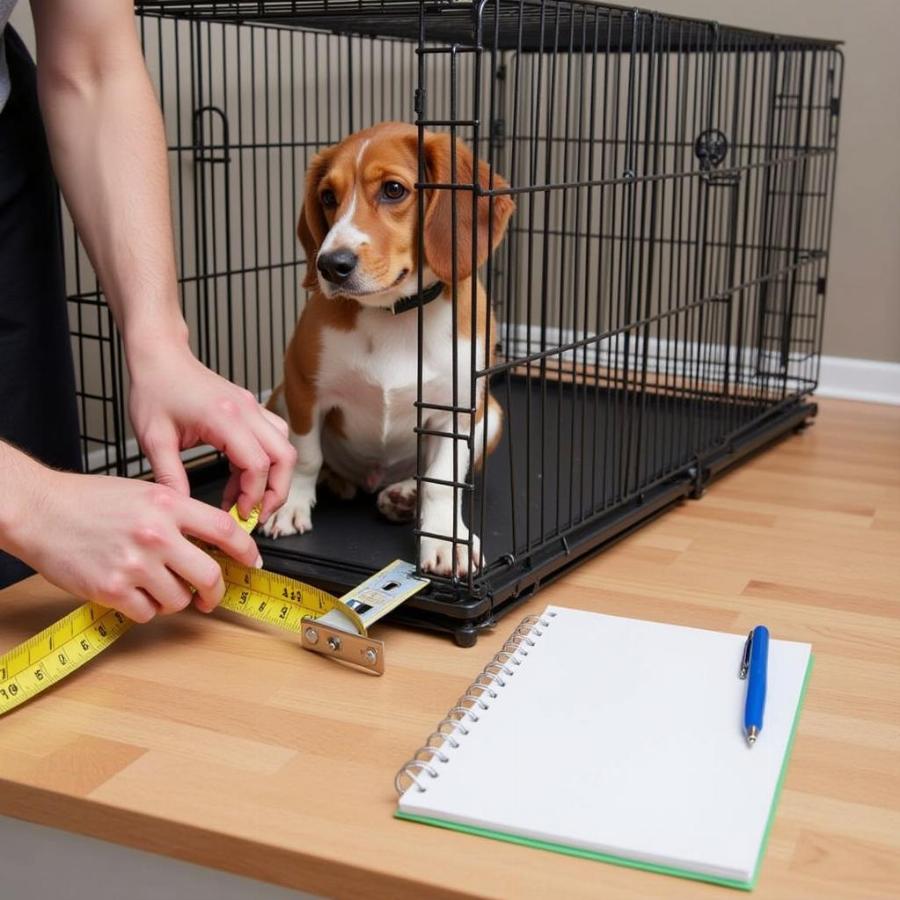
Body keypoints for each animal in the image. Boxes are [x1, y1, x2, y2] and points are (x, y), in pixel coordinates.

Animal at [260, 121, 512, 576]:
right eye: (328, 197)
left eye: (394, 190)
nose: (331, 265)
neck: (393, 313)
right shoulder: (303, 388)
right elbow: (304, 455)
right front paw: (290, 505)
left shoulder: (458, 409)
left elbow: (444, 481)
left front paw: (447, 541)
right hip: (278, 399)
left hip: (493, 415)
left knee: (429, 476)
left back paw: (404, 495)